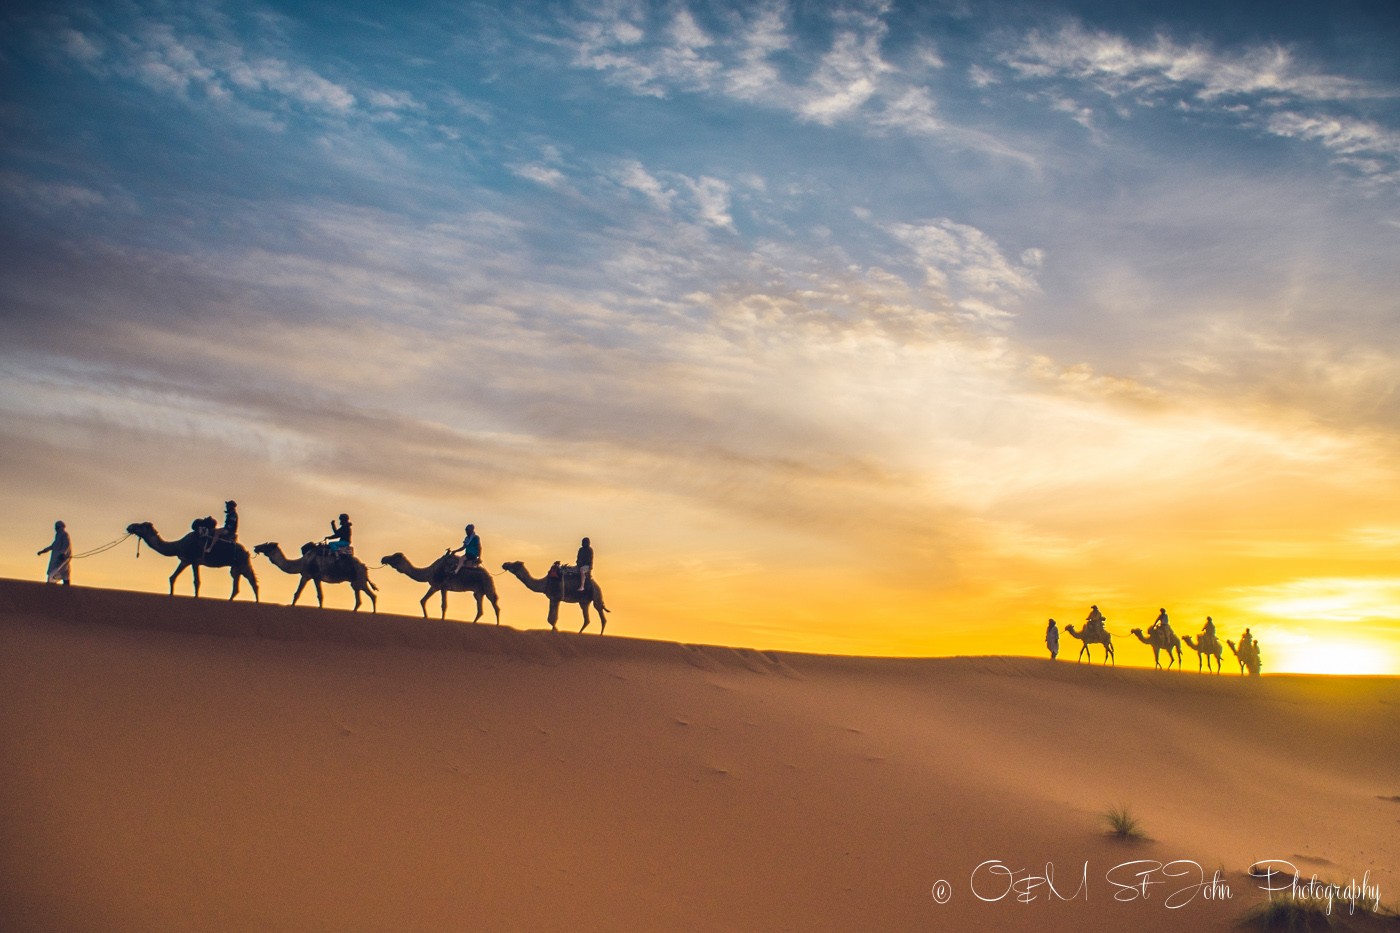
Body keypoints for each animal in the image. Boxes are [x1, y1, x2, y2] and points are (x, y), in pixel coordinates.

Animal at [127, 518, 259, 599]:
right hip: (235, 568)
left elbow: (197, 582)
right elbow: (172, 578)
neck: (178, 545)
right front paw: (171, 595)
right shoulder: (185, 560)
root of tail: (247, 552)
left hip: (243, 563)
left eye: (141, 525)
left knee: (253, 582)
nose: (129, 527)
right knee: (237, 587)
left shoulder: (194, 560)